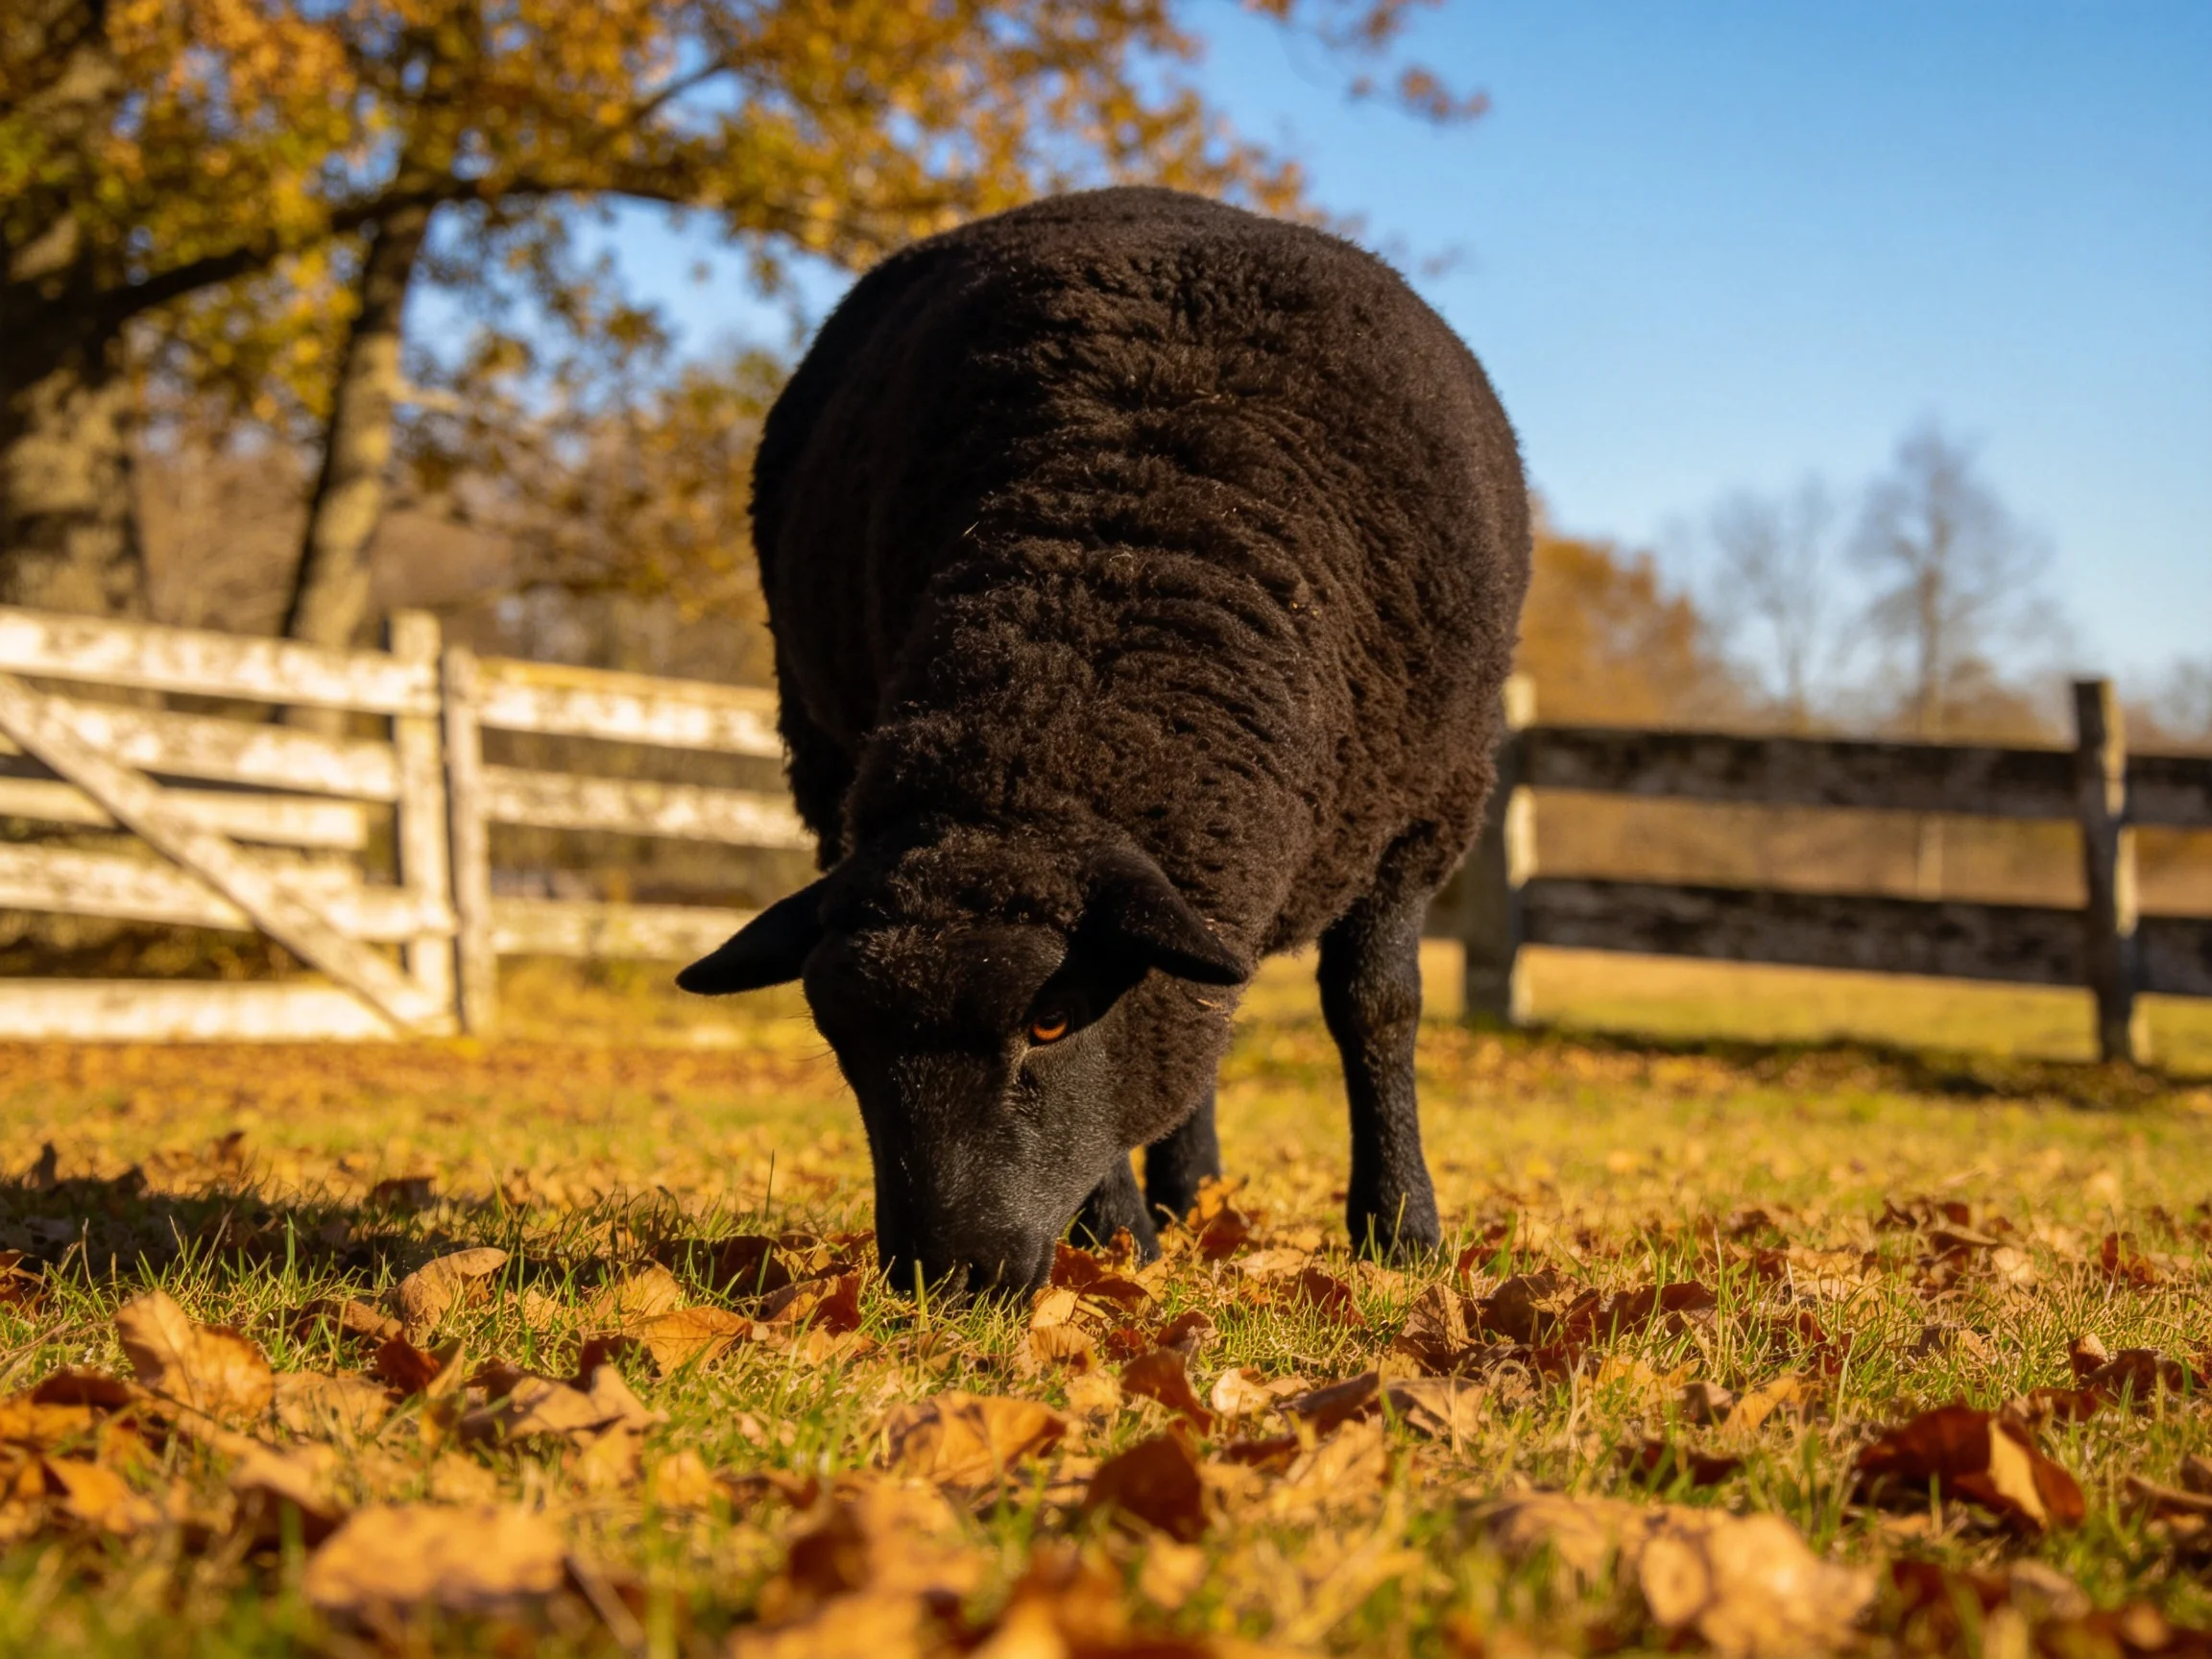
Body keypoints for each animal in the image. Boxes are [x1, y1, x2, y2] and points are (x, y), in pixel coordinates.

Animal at [680, 186, 1530, 1296]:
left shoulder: (1427, 812)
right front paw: (1120, 1243)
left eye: (1051, 1021)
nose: (948, 1277)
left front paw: (1402, 1231)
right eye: (840, 1040)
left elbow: (1376, 1007)